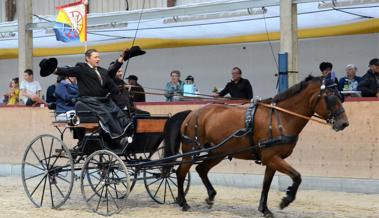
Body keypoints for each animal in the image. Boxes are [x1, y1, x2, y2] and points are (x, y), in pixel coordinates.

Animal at [163, 74, 350, 216]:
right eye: (331, 97)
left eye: (341, 96)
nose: (343, 123)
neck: (280, 118)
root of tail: (192, 112)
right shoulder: (272, 157)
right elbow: (297, 176)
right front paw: (286, 200)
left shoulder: (272, 160)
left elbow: (266, 184)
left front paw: (265, 209)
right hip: (191, 150)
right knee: (181, 172)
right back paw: (183, 202)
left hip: (218, 152)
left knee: (201, 169)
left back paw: (210, 197)